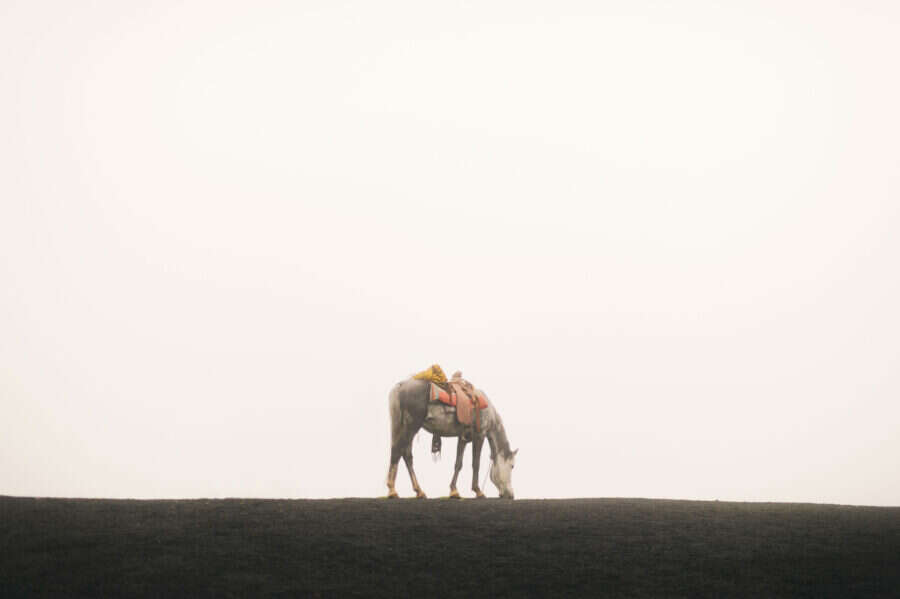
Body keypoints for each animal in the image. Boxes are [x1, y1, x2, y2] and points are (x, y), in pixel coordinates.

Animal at [386, 377, 517, 499]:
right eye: (512, 466)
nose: (511, 495)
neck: (488, 411)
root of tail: (400, 386)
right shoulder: (479, 435)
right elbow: (476, 464)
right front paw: (478, 491)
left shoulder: (463, 438)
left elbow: (458, 463)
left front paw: (454, 491)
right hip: (412, 426)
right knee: (398, 452)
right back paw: (393, 490)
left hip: (404, 427)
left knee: (405, 455)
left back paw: (419, 491)